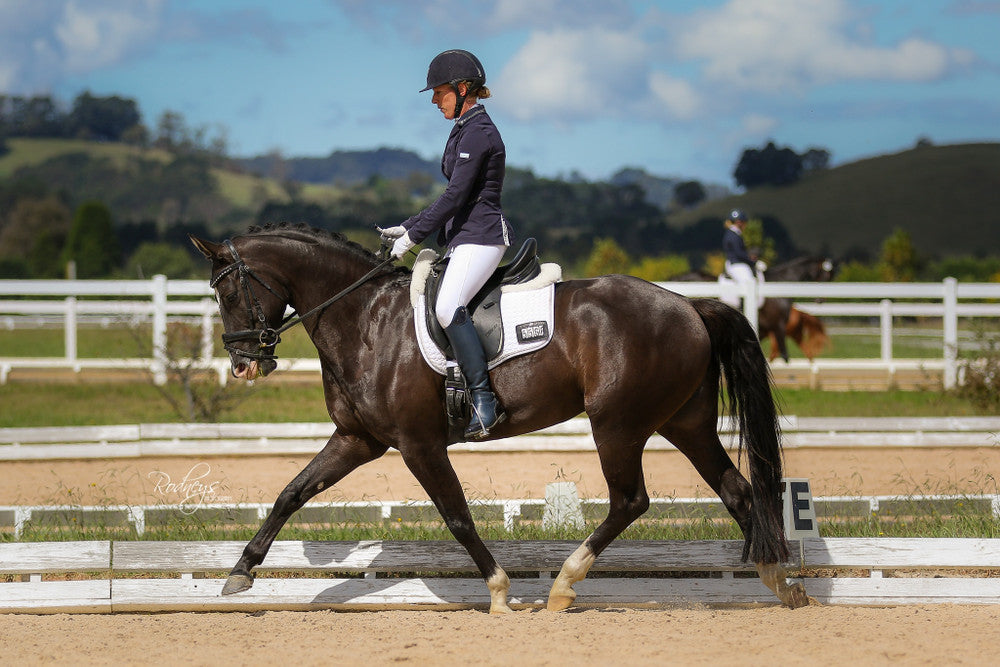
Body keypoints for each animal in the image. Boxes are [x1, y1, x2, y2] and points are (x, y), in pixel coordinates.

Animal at [190, 223, 809, 612]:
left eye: (229, 293)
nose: (244, 363)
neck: (364, 318)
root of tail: (688, 305)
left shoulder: (418, 444)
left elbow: (457, 517)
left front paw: (498, 591)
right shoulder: (357, 439)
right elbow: (291, 493)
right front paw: (240, 572)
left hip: (617, 423)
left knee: (631, 501)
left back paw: (563, 586)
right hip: (684, 423)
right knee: (737, 491)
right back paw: (780, 583)